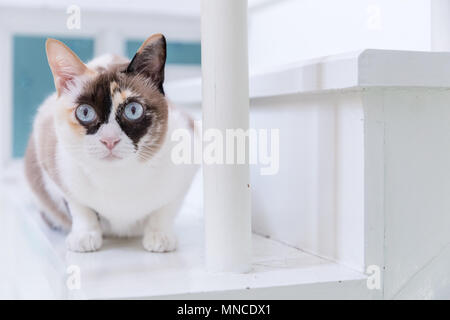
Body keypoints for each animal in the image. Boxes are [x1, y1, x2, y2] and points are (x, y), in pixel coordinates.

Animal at [23, 33, 198, 252]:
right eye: (85, 112)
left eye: (133, 110)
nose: (109, 140)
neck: (117, 179)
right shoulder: (52, 162)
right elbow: (81, 209)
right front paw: (85, 237)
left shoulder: (187, 164)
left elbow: (164, 211)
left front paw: (160, 237)